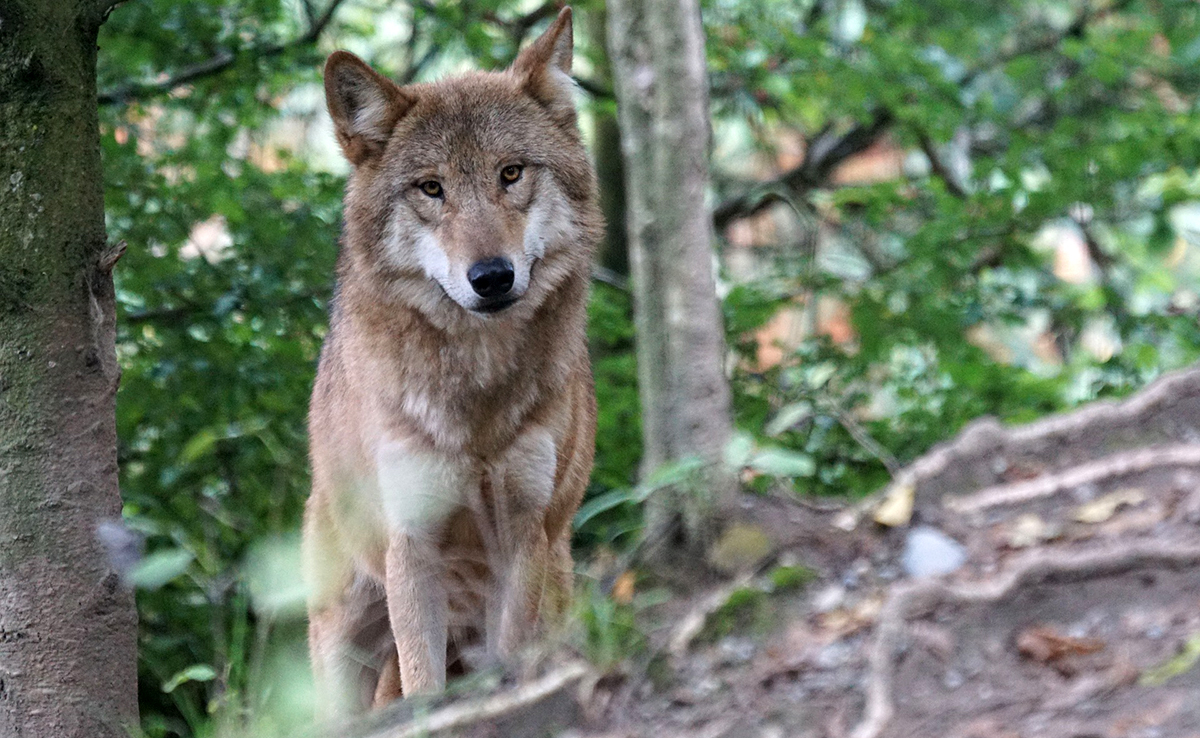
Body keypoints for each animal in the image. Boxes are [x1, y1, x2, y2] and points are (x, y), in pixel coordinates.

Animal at [300, 7, 600, 715]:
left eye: (511, 173)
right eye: (431, 188)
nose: (491, 277)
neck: (477, 397)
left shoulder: (523, 533)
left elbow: (512, 655)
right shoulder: (412, 544)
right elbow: (422, 681)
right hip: (343, 639)